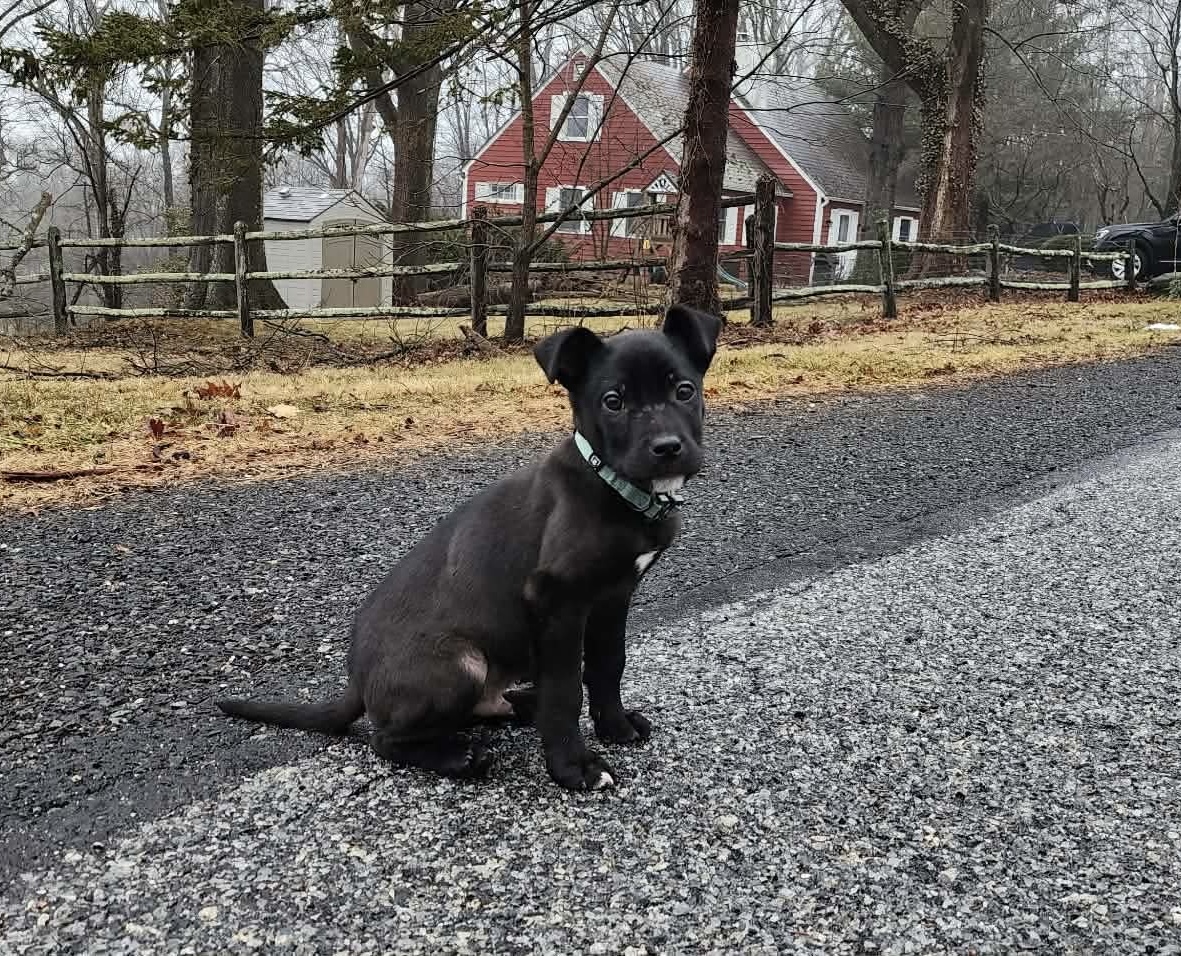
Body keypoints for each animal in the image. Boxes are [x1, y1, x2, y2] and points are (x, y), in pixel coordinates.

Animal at [217, 304, 721, 790]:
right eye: (612, 402)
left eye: (684, 391)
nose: (667, 448)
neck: (613, 485)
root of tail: (358, 682)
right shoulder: (557, 601)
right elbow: (565, 691)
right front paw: (572, 767)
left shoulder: (613, 598)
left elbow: (607, 666)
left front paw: (615, 727)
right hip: (462, 663)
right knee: (386, 739)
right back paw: (458, 757)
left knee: (487, 706)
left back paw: (520, 707)